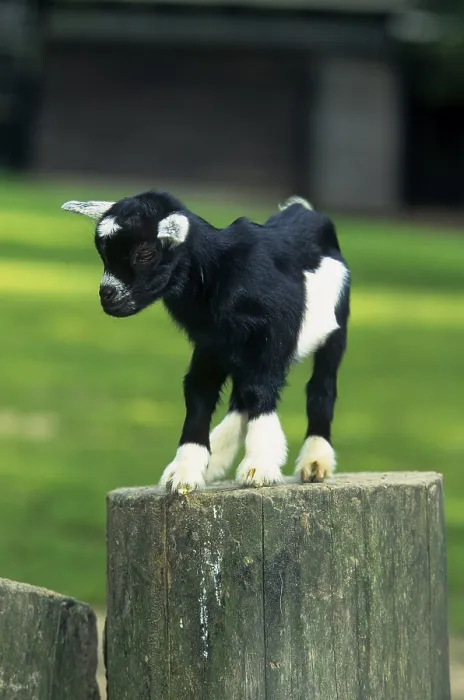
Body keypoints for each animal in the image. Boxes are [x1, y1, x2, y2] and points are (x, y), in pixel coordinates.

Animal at [61, 190, 350, 493]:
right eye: (103, 253)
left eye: (145, 253)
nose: (107, 295)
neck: (219, 272)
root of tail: (305, 211)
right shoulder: (211, 344)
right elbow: (199, 392)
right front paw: (185, 471)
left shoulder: (271, 338)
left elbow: (260, 389)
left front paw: (260, 467)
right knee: (239, 396)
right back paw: (217, 459)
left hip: (336, 329)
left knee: (321, 386)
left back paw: (315, 462)